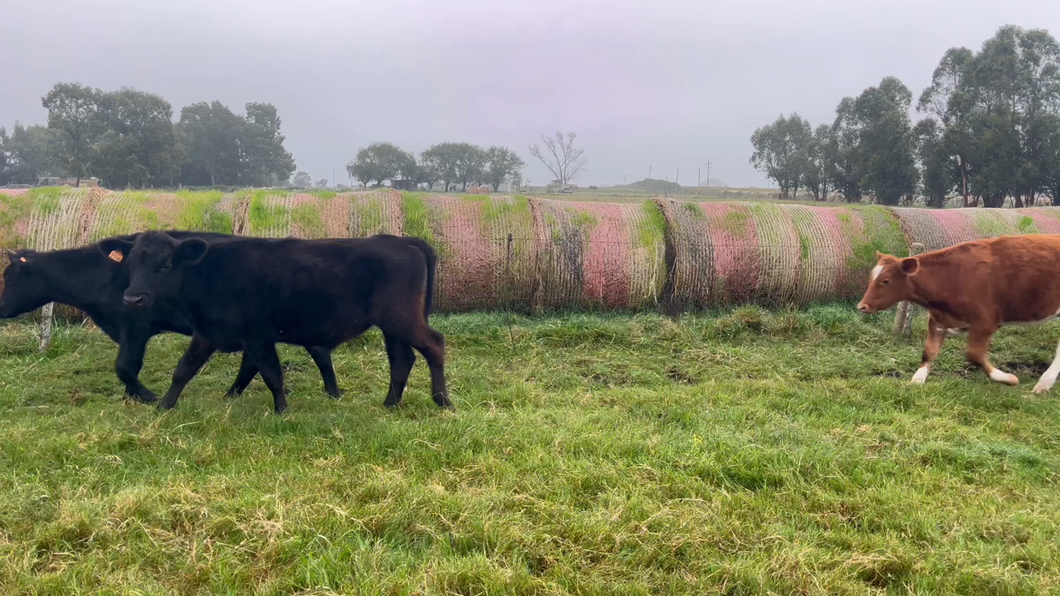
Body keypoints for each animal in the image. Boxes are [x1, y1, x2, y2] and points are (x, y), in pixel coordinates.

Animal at [0, 230, 345, 400]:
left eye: (10, 276)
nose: (1, 308)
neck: (100, 274)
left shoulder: (135, 326)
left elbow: (125, 367)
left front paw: (147, 396)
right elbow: (127, 369)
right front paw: (132, 397)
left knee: (312, 350)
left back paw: (331, 392)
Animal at [105, 232, 453, 413]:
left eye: (165, 265)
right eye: (131, 264)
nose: (132, 298)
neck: (209, 275)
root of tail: (401, 240)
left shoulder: (258, 336)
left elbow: (272, 374)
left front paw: (282, 410)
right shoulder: (208, 333)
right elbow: (183, 369)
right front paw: (164, 405)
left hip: (402, 318)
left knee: (434, 345)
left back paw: (442, 400)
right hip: (393, 325)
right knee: (402, 359)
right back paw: (390, 403)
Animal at [852, 234, 1060, 392]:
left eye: (886, 281)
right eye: (871, 278)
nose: (862, 306)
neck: (951, 277)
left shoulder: (985, 322)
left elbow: (974, 354)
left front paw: (1007, 378)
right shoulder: (937, 320)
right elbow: (929, 352)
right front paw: (917, 380)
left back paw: (1044, 383)